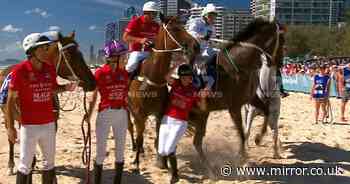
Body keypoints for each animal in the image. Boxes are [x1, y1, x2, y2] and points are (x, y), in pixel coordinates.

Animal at [0, 30, 96, 175]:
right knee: (11, 138)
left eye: (80, 54)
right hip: (7, 117)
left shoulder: (52, 124)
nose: (92, 82)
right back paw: (11, 165)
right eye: (69, 55)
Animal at [128, 15, 200, 170]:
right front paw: (136, 162)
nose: (196, 46)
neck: (152, 78)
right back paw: (136, 147)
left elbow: (158, 135)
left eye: (183, 26)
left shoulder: (159, 113)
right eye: (174, 28)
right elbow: (140, 135)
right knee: (131, 127)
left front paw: (162, 161)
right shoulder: (140, 113)